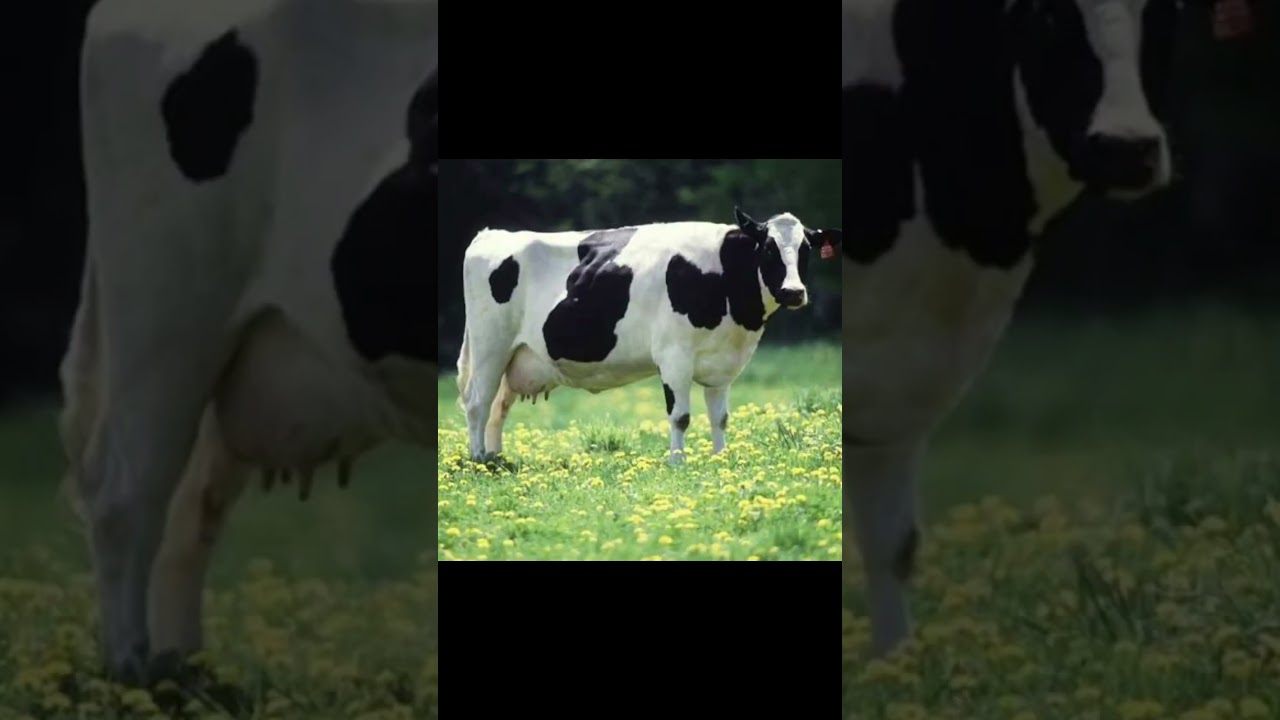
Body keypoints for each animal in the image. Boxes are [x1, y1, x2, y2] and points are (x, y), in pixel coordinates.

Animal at [455, 209, 842, 464]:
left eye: (805, 250)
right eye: (768, 249)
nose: (793, 292)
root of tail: (492, 234)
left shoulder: (722, 364)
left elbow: (720, 417)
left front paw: (721, 458)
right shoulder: (674, 355)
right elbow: (681, 416)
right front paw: (677, 463)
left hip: (516, 356)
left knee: (498, 408)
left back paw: (497, 459)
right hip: (490, 345)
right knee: (477, 403)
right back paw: (479, 460)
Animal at [841, 0, 1179, 657]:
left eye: (1166, 11)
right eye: (1045, 15)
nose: (1128, 148)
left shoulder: (900, 381)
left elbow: (892, 545)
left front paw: (896, 665)